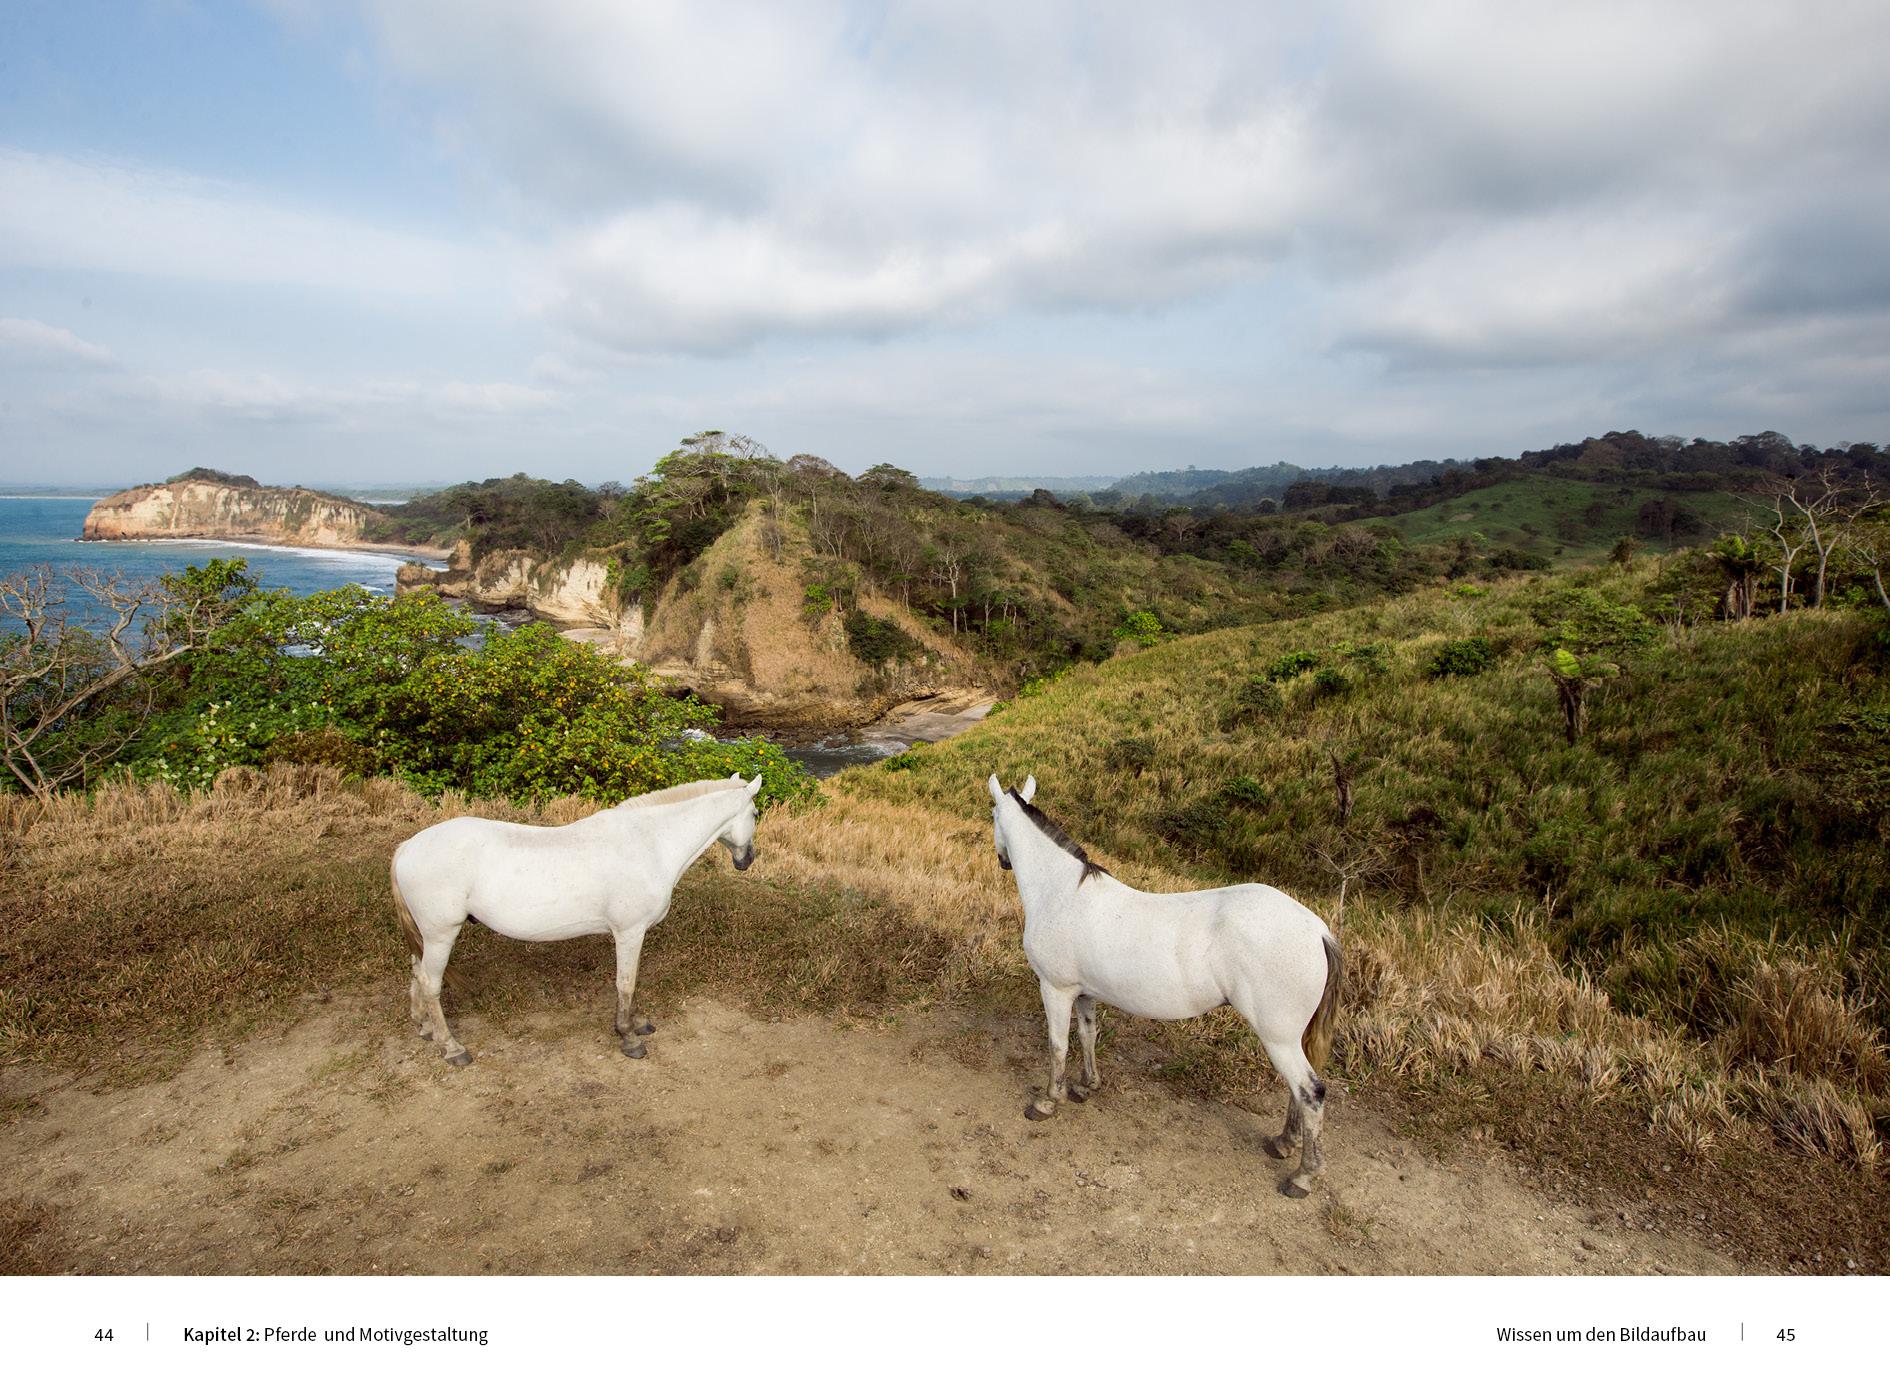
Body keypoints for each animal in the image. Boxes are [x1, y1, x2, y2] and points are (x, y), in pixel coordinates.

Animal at [391, 774, 759, 1058]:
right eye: (755, 813)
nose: (748, 860)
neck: (648, 843)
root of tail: (407, 847)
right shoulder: (629, 932)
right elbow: (626, 983)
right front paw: (628, 1036)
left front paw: (638, 1024)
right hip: (442, 934)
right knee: (431, 982)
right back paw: (451, 1047)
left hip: (428, 935)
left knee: (417, 972)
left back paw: (425, 1027)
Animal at [990, 770, 1345, 1194]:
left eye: (992, 814)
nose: (1003, 861)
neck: (1061, 893)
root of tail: (1317, 930)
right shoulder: (1084, 992)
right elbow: (1087, 1036)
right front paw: (1086, 1086)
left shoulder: (1055, 989)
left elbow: (1058, 1045)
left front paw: (1047, 1101)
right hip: (1290, 1037)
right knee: (1298, 1091)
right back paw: (1283, 1144)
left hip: (1278, 1037)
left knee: (1311, 1092)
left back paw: (1303, 1175)